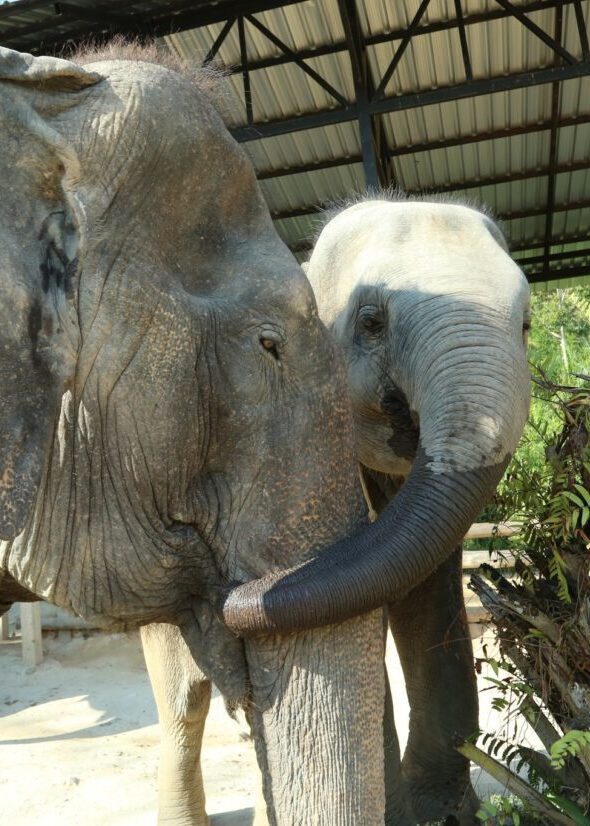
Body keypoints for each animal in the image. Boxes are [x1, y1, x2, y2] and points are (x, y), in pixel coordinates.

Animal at [221, 196, 532, 824]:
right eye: (370, 321)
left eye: (527, 327)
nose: (233, 590)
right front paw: (401, 814)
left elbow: (426, 585)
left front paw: (443, 812)